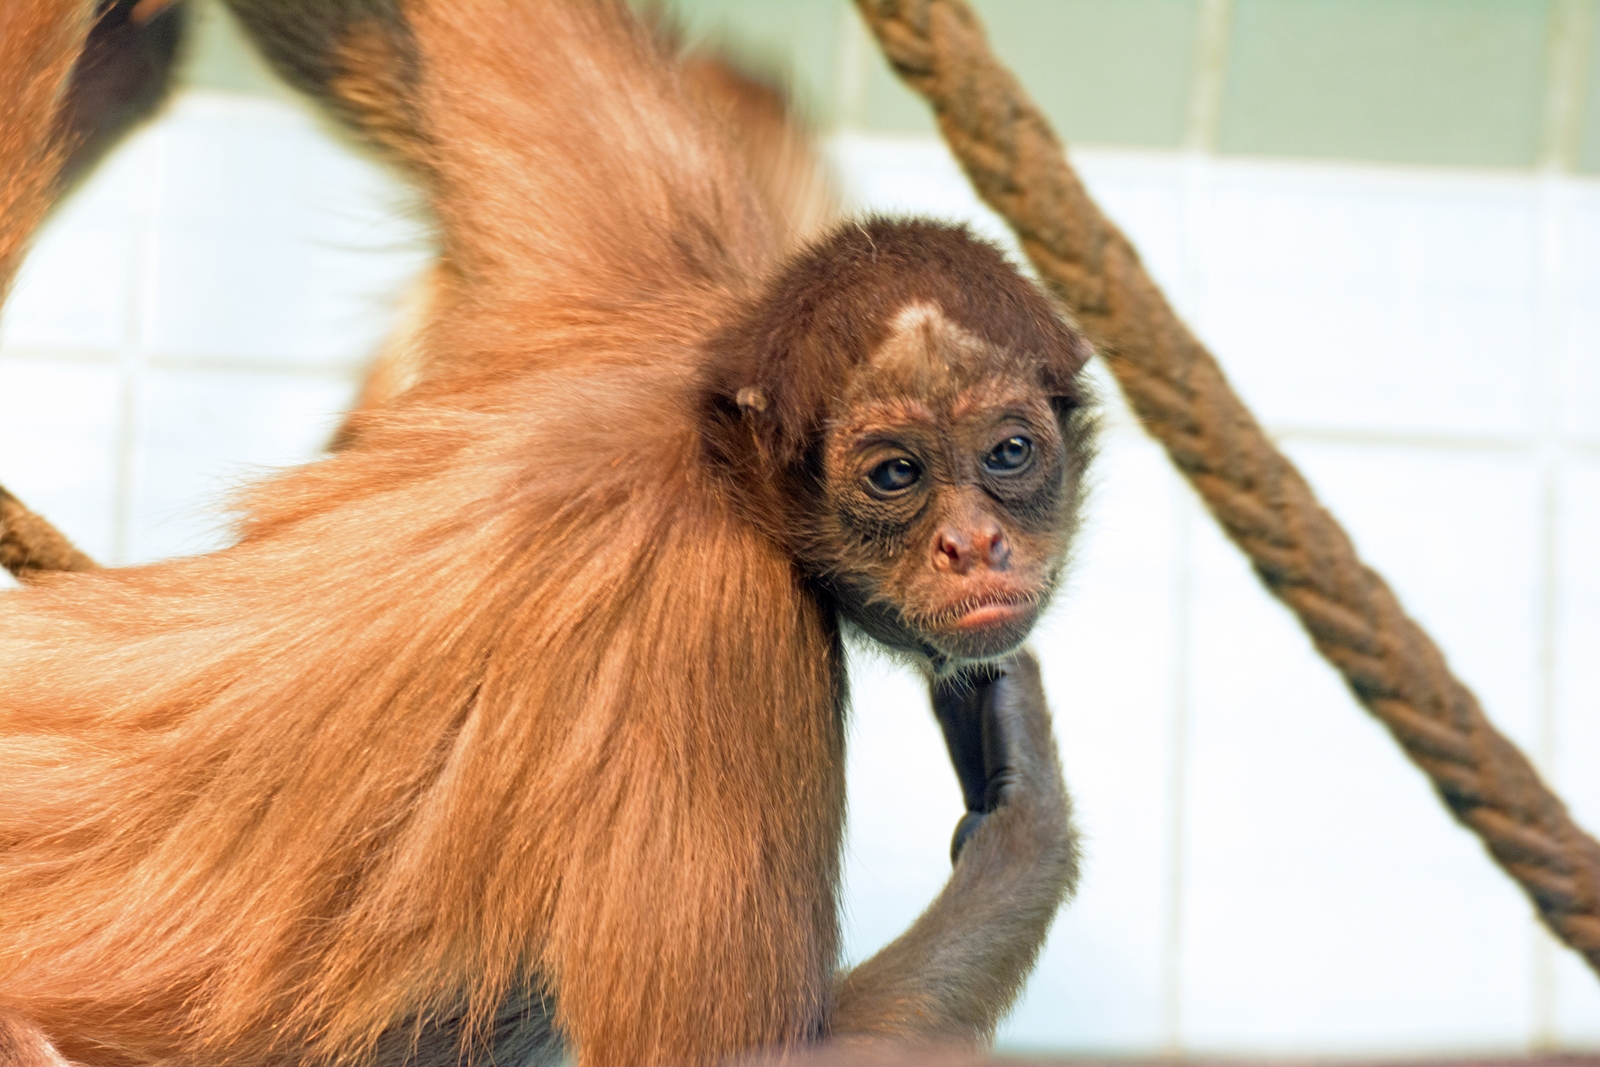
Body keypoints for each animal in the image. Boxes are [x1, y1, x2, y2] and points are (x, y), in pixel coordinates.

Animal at [0, 2, 1094, 1067]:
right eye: (894, 475)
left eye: (1007, 453)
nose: (973, 546)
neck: (714, 461)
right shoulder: (727, 621)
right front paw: (1025, 820)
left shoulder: (661, 254)